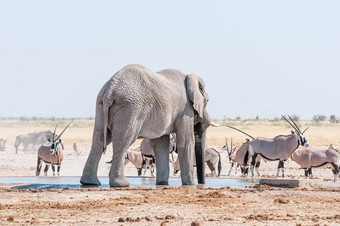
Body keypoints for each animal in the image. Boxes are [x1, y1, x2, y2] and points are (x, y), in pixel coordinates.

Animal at [80, 64, 218, 187]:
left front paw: (162, 184)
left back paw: (90, 183)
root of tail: (110, 89)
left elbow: (161, 145)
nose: (201, 184)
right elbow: (185, 143)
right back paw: (121, 184)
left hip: (101, 106)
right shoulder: (184, 110)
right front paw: (189, 185)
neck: (189, 77)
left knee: (99, 140)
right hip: (130, 108)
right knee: (123, 140)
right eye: (207, 101)